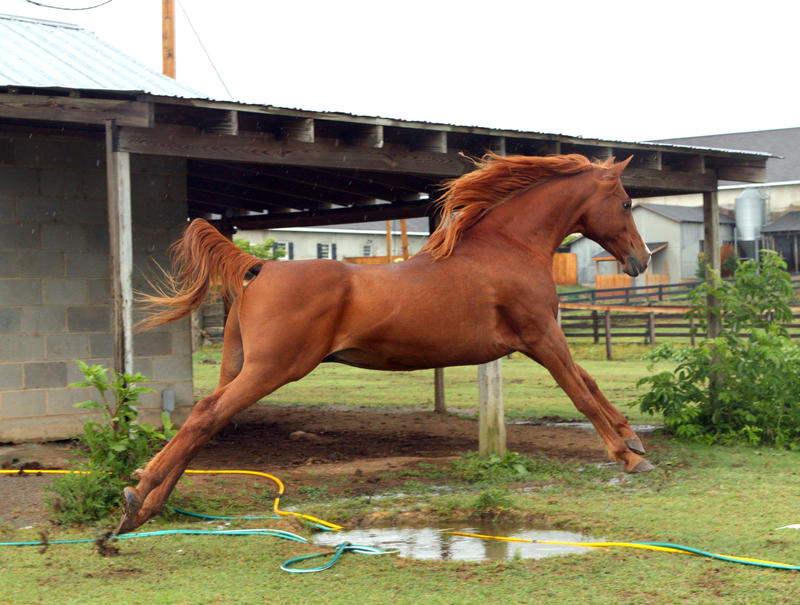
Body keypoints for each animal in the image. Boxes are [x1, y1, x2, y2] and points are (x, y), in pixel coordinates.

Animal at [115, 155, 652, 532]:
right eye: (627, 203)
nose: (641, 259)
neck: (507, 247)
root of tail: (259, 267)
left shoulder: (545, 339)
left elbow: (590, 383)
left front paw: (632, 437)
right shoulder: (540, 337)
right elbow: (580, 392)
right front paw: (628, 456)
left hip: (239, 367)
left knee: (202, 424)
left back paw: (142, 506)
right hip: (272, 369)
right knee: (206, 416)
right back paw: (138, 497)